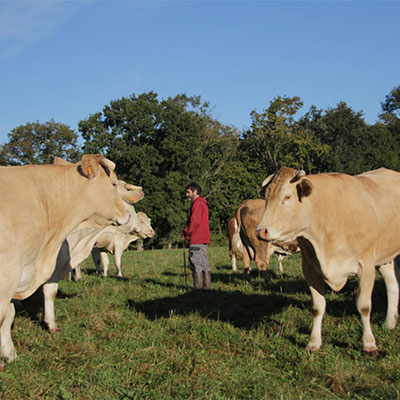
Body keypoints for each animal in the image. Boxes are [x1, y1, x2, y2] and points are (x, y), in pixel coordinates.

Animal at [0, 154, 130, 368]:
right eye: (113, 183)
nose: (126, 214)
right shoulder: (8, 273)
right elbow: (5, 314)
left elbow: (10, 314)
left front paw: (10, 354)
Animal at [256, 167, 400, 354]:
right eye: (266, 198)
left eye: (287, 196)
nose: (261, 231)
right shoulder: (310, 268)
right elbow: (318, 307)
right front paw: (313, 343)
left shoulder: (365, 266)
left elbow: (364, 306)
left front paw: (369, 344)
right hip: (384, 257)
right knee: (392, 285)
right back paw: (389, 323)